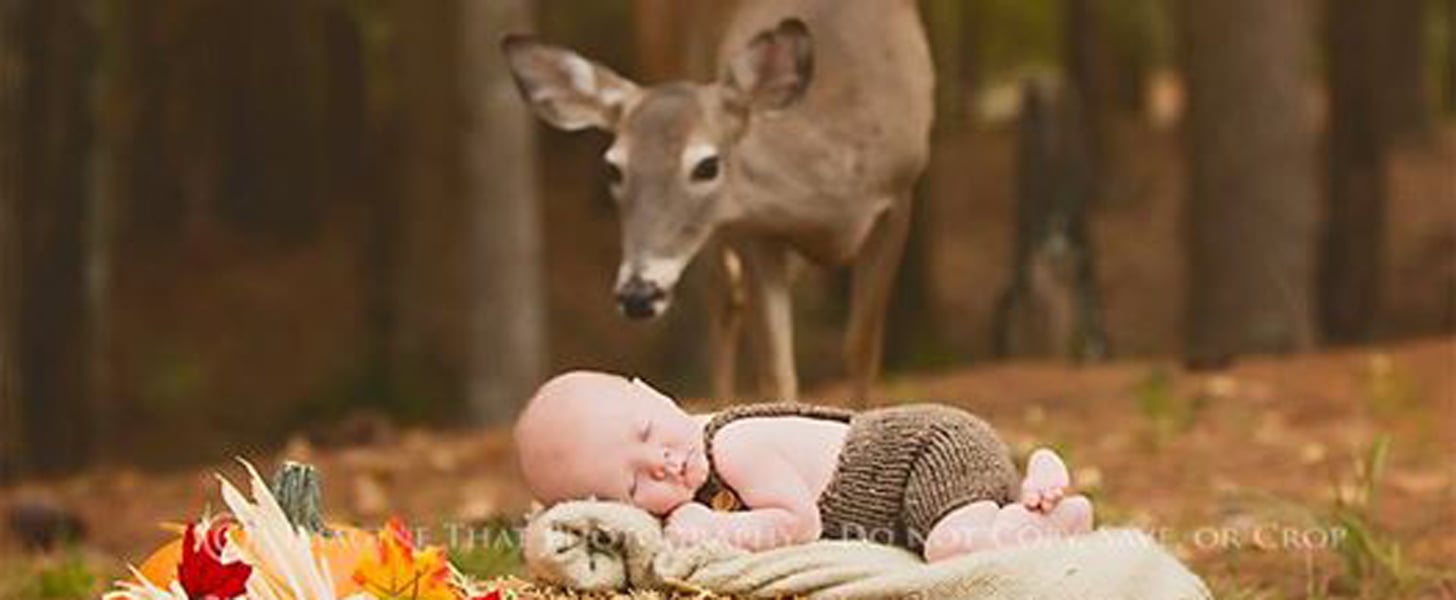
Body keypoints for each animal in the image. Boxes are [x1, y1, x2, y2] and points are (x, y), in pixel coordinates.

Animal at [502, 0, 933, 404]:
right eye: (614, 168)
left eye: (707, 165)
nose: (639, 295)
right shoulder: (753, 229)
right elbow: (777, 370)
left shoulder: (898, 197)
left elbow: (861, 348)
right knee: (722, 298)